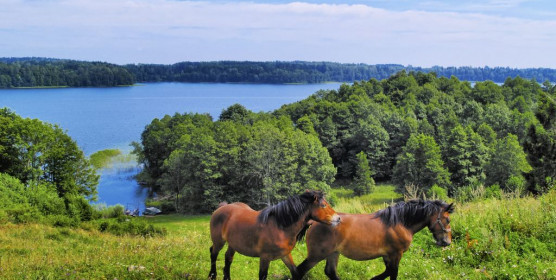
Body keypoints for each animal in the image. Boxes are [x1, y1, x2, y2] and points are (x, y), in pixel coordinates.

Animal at [207, 189, 338, 278]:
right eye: (323, 205)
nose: (338, 218)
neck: (280, 226)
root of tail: (221, 208)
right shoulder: (265, 257)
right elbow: (263, 275)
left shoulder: (285, 255)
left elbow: (295, 272)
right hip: (219, 242)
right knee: (213, 253)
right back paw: (212, 275)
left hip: (233, 243)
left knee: (228, 257)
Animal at [296, 200, 452, 278]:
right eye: (448, 220)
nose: (447, 242)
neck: (399, 222)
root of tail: (314, 222)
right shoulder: (396, 254)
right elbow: (393, 272)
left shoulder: (387, 255)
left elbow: (389, 271)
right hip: (317, 255)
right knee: (300, 270)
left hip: (333, 253)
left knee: (330, 272)